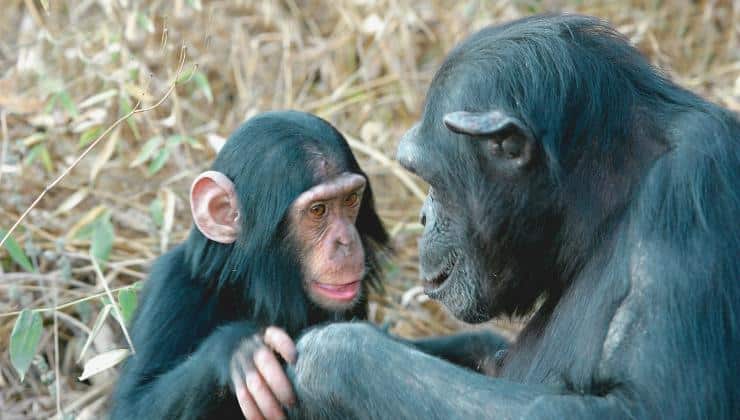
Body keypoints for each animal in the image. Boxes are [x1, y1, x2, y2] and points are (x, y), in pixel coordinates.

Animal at [108, 110, 394, 418]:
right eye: (318, 210)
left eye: (351, 199)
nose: (346, 241)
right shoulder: (172, 286)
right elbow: (133, 406)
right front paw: (240, 348)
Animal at [290, 13, 740, 420]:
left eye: (429, 178)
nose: (423, 215)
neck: (606, 206)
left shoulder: (693, 183)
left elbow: (651, 403)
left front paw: (330, 355)